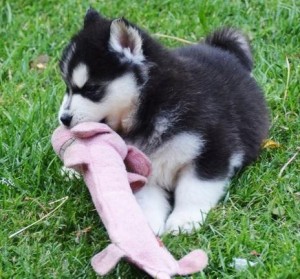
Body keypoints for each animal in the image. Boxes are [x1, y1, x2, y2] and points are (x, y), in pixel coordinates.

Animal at [58, 9, 270, 236]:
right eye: (67, 87)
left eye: (91, 89)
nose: (64, 119)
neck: (151, 106)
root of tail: (218, 49)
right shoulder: (141, 166)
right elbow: (147, 197)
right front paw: (146, 225)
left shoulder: (214, 145)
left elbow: (195, 188)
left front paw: (185, 220)